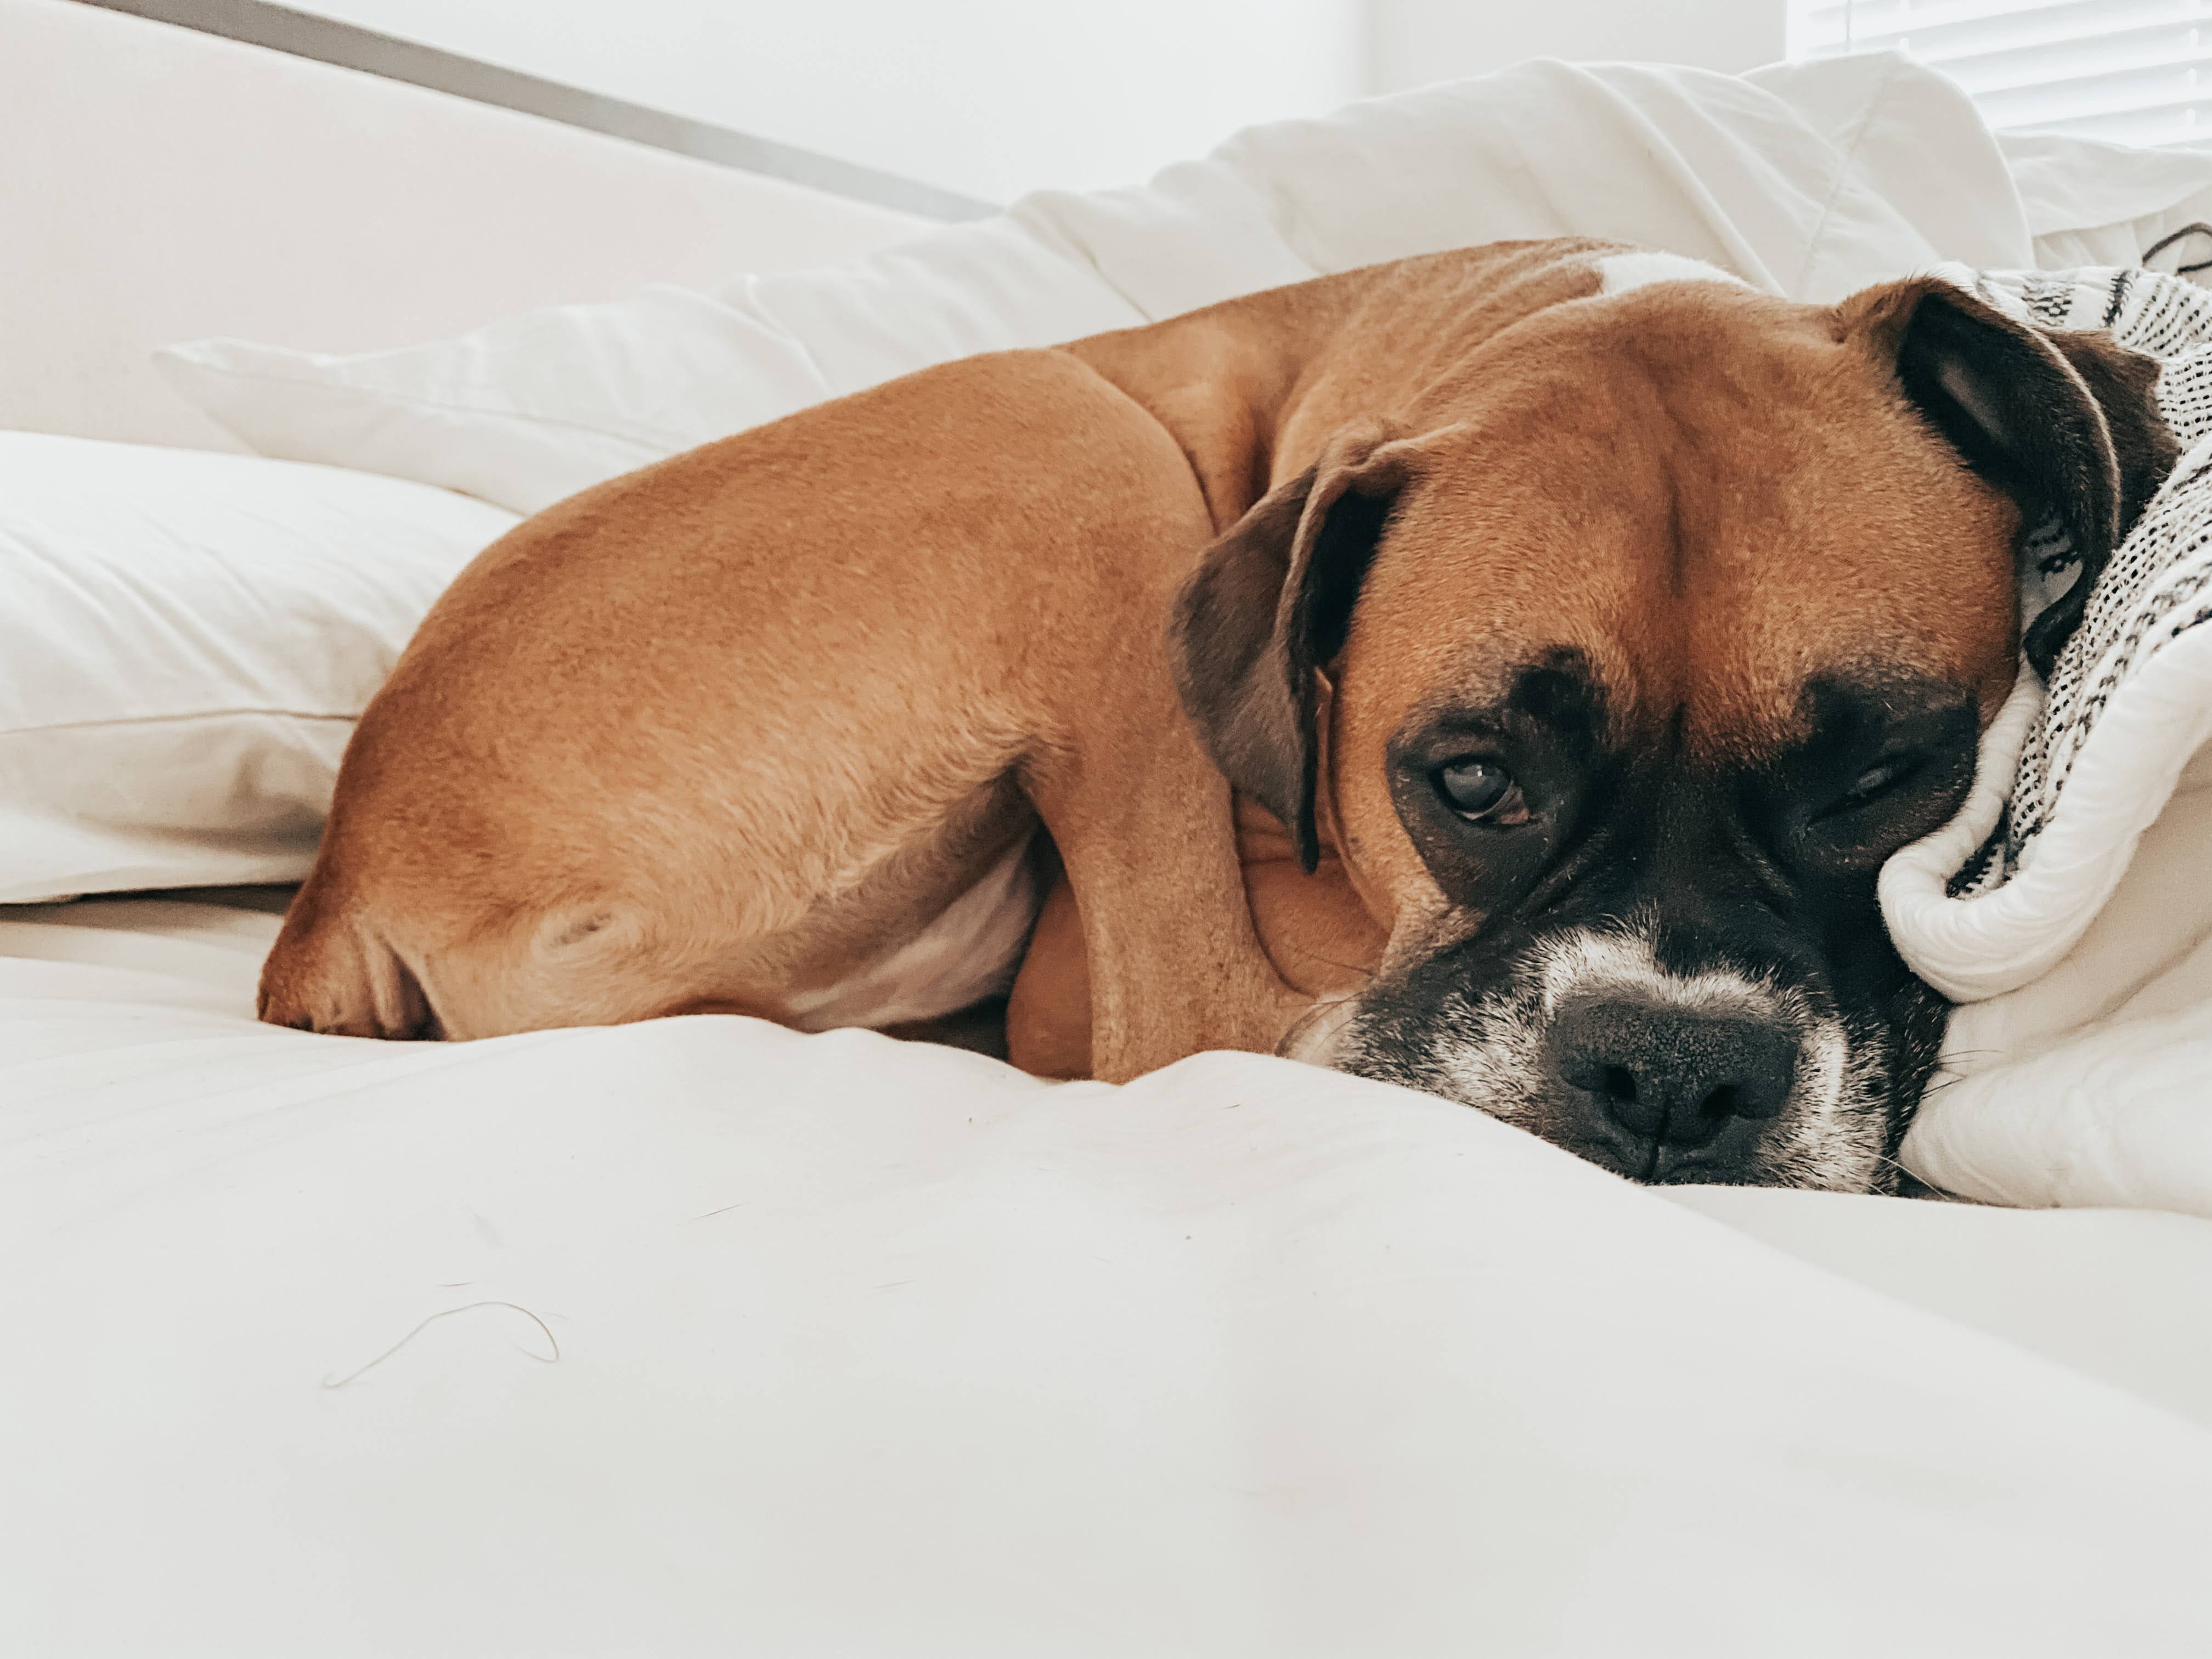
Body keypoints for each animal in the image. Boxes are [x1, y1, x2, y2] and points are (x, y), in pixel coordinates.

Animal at [251, 236, 2168, 1194]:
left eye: (1893, 770)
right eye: (1470, 780)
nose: (1675, 1072)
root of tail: (346, 859)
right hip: (1070, 443)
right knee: (1188, 1022)